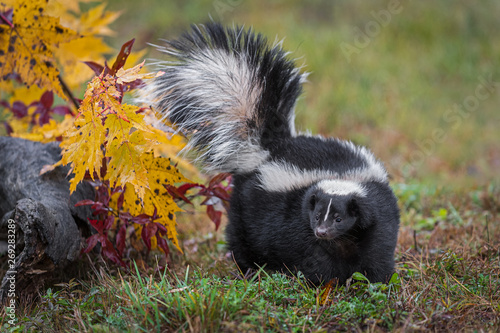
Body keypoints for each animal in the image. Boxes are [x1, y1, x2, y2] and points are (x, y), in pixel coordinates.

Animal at [139, 22, 400, 282]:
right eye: (317, 216)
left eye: (339, 218)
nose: (322, 231)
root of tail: (271, 146)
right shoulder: (296, 219)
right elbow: (313, 255)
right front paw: (325, 281)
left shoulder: (377, 214)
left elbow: (377, 250)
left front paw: (375, 280)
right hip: (246, 204)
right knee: (240, 236)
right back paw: (249, 268)